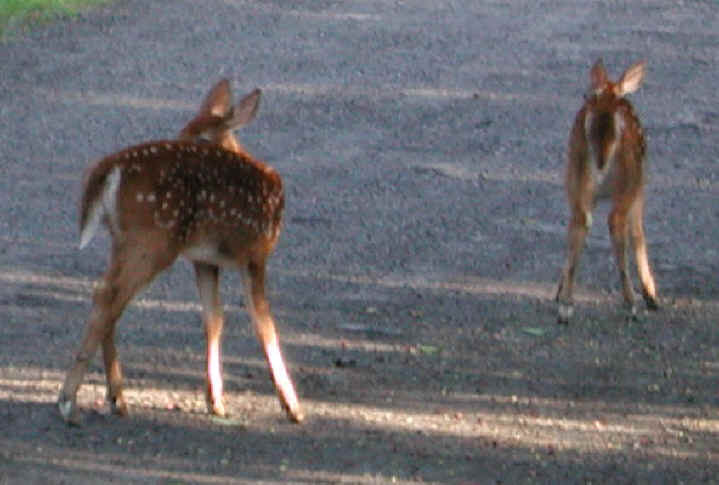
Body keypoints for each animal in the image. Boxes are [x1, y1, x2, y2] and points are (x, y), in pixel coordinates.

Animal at [57, 79, 303, 424]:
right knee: (110, 296)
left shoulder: (204, 260)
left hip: (125, 240)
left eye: (199, 136)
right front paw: (292, 405)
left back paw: (117, 398)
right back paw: (68, 400)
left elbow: (214, 318)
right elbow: (264, 324)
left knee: (105, 295)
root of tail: (108, 169)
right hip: (154, 239)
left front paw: (215, 400)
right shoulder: (255, 253)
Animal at [555, 59, 659, 324]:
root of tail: (605, 111)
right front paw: (651, 294)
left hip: (575, 173)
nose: (585, 95)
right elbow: (638, 234)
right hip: (629, 178)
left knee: (579, 222)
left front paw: (558, 291)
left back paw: (566, 304)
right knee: (616, 223)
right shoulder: (639, 185)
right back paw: (632, 302)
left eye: (588, 91)